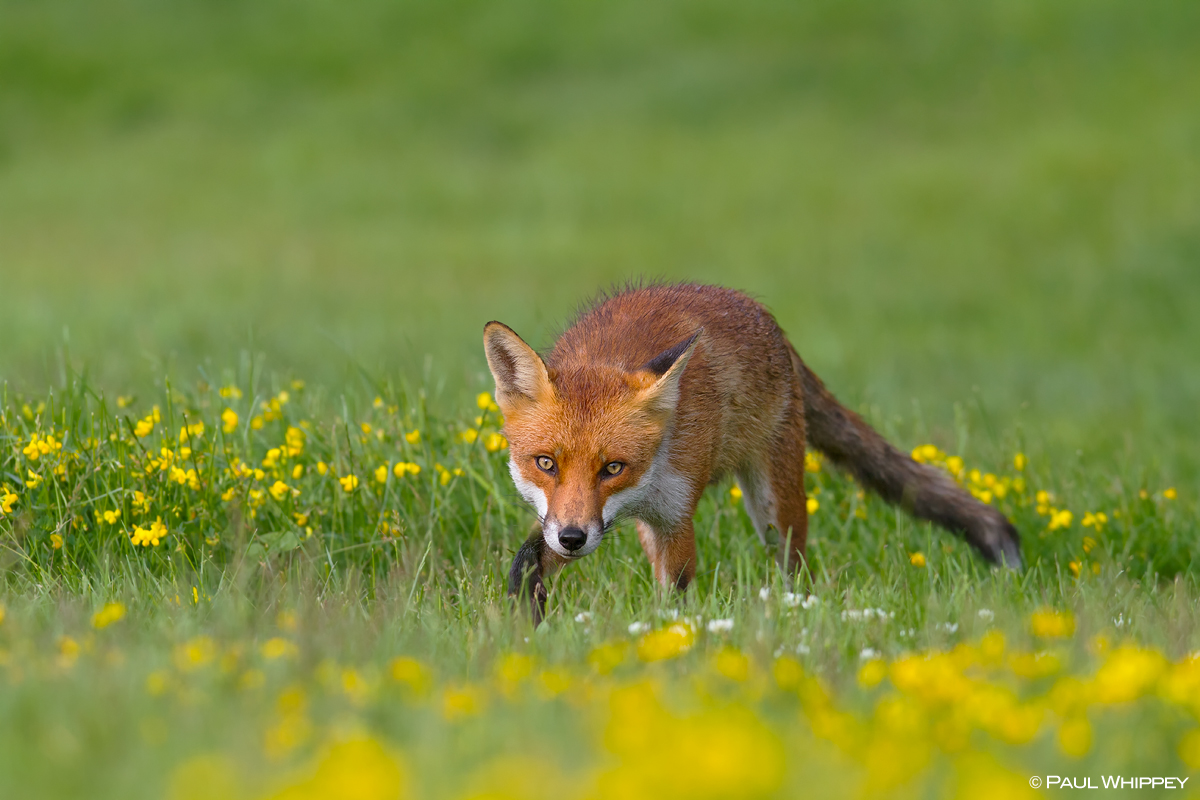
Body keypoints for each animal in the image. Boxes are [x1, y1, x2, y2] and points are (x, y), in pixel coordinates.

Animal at [483, 283, 1021, 623]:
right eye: (546, 463)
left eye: (613, 467)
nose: (573, 539)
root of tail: (764, 316)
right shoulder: (573, 520)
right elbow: (527, 561)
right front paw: (524, 623)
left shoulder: (674, 515)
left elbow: (674, 593)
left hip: (775, 507)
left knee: (795, 569)